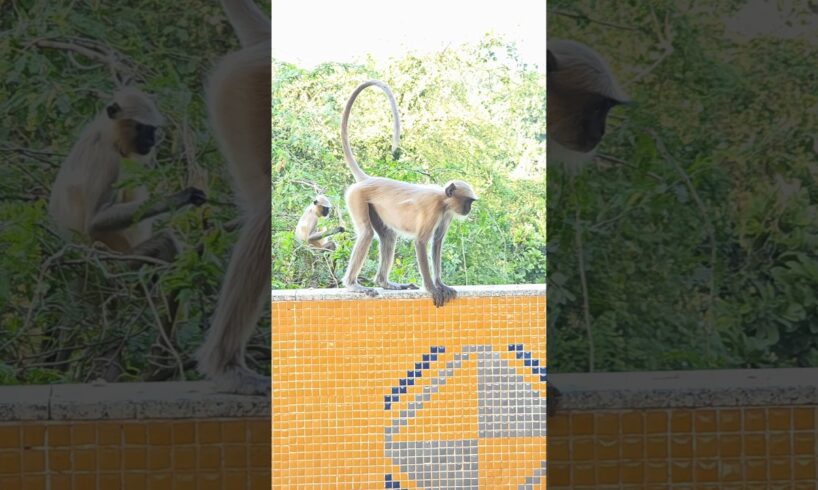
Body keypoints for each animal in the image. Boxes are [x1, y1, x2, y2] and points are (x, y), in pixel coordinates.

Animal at [340, 80, 478, 308]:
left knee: (388, 236)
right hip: (357, 197)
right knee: (367, 233)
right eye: (468, 201)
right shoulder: (433, 209)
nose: (468, 209)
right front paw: (432, 288)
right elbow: (421, 242)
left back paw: (385, 283)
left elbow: (437, 242)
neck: (443, 199)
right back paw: (352, 285)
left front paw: (441, 284)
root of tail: (367, 180)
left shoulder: (447, 212)